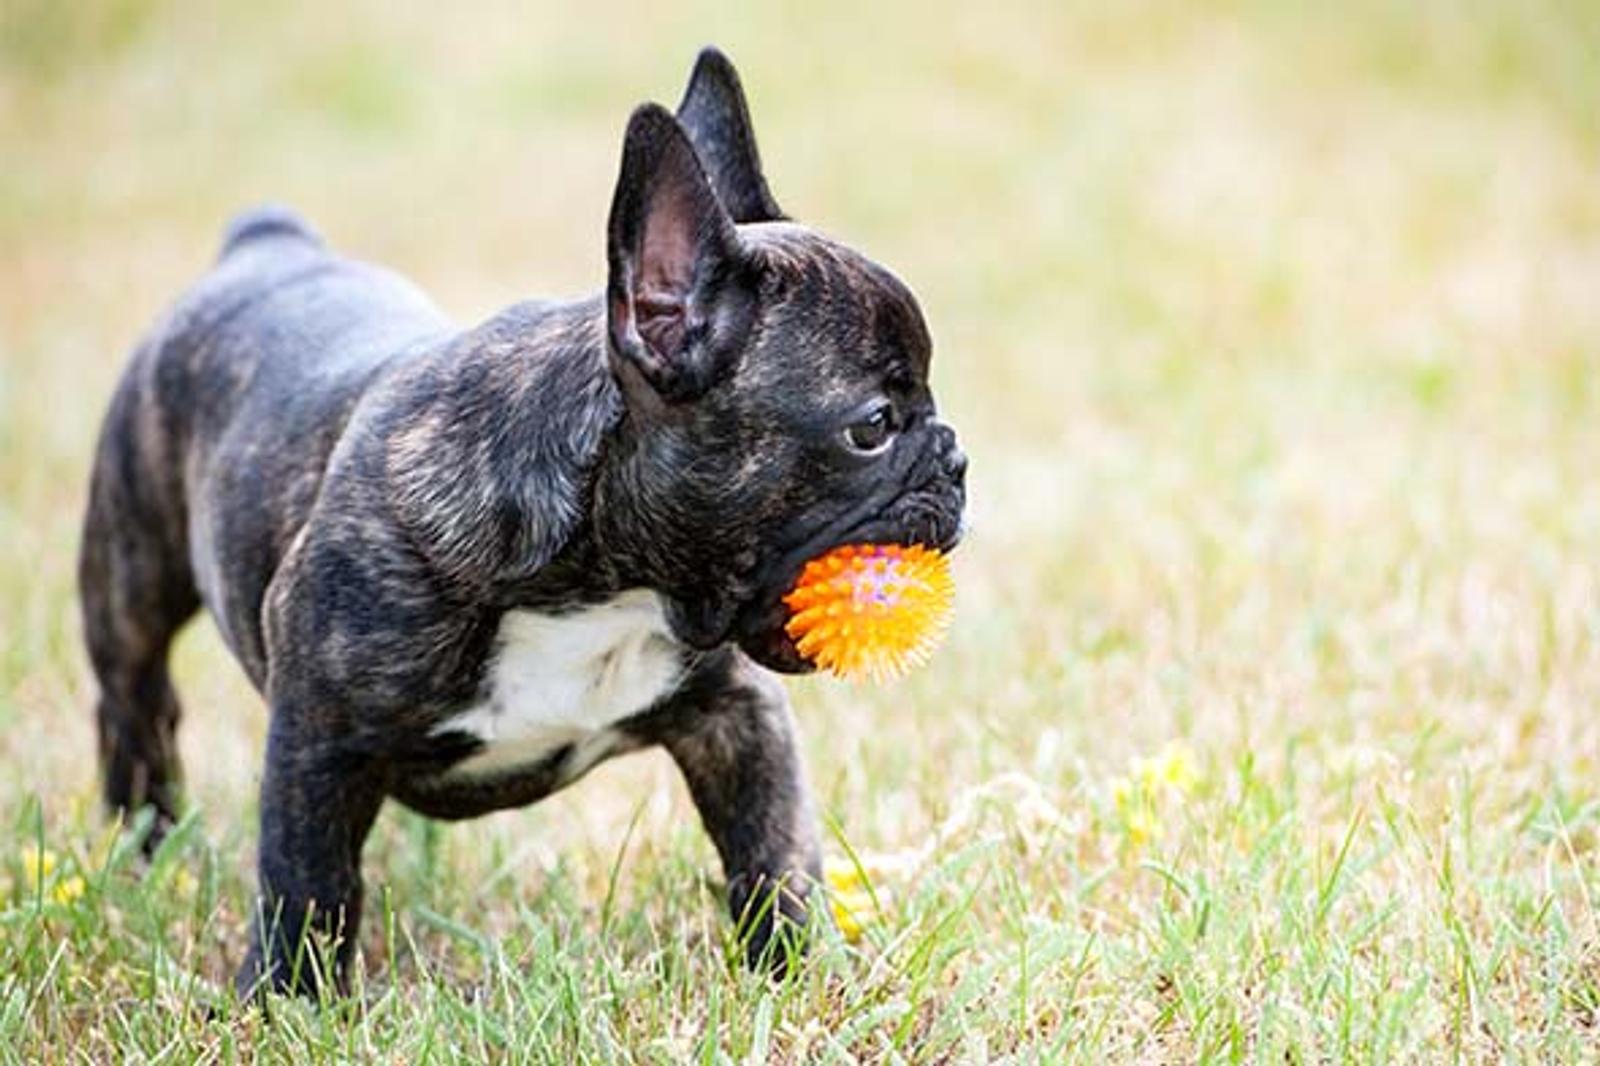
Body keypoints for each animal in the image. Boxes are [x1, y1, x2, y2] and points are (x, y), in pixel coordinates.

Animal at [78, 47, 960, 998]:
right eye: (873, 426)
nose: (955, 461)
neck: (602, 584)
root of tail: (265, 243)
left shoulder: (737, 718)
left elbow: (774, 852)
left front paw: (799, 972)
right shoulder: (318, 734)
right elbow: (307, 877)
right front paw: (285, 998)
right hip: (129, 584)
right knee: (137, 708)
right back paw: (145, 855)